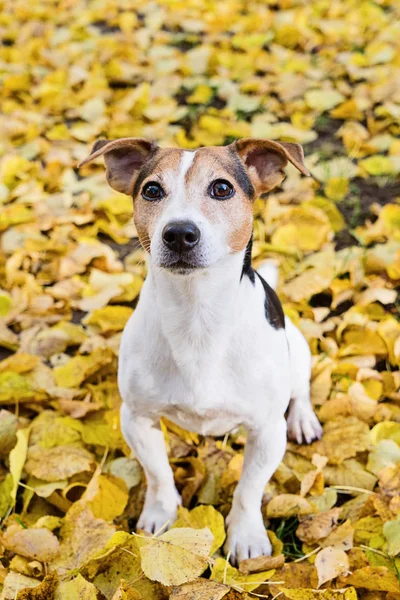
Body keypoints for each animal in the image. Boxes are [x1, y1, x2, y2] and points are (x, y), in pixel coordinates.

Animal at [79, 138, 324, 564]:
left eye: (222, 188)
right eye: (152, 190)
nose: (179, 233)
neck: (197, 317)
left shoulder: (267, 430)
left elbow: (249, 489)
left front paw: (245, 535)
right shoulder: (136, 418)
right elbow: (158, 473)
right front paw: (161, 514)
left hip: (298, 348)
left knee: (301, 389)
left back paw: (303, 418)